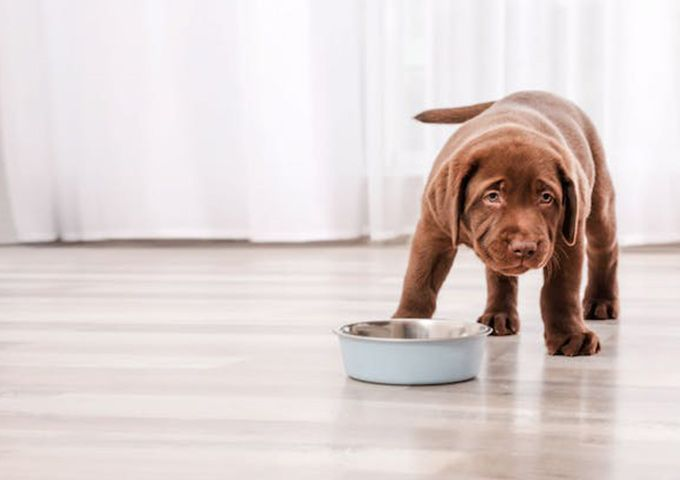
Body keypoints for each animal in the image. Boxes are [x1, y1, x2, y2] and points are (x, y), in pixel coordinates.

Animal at [396, 91, 620, 356]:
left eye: (546, 197)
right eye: (492, 196)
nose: (524, 247)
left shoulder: (567, 236)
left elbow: (561, 289)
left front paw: (570, 335)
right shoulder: (433, 230)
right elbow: (418, 282)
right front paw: (405, 324)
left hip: (598, 202)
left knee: (604, 249)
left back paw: (601, 301)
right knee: (499, 274)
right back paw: (498, 314)